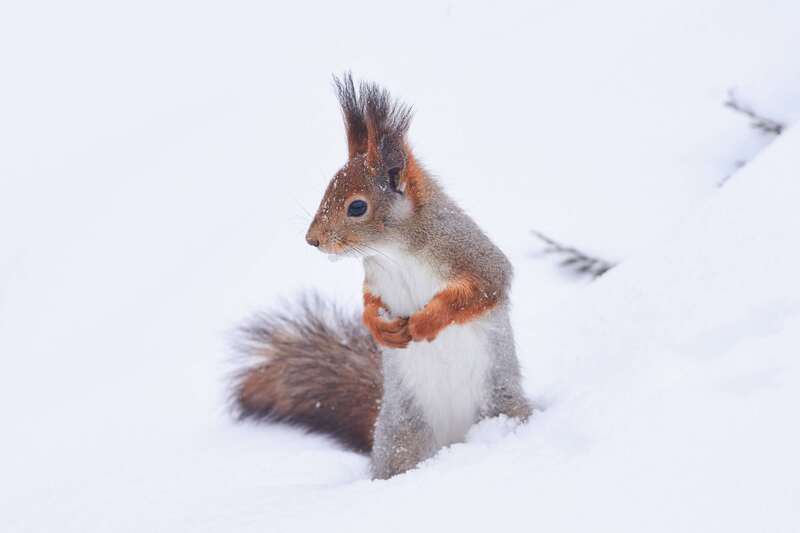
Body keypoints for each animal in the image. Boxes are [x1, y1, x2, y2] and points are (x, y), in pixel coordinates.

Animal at [232, 74, 531, 479]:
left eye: (357, 207)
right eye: (327, 189)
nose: (312, 240)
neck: (396, 253)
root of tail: (453, 444)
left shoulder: (472, 256)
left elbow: (485, 287)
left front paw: (425, 322)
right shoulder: (375, 277)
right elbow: (369, 303)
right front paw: (380, 327)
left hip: (499, 402)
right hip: (402, 434)